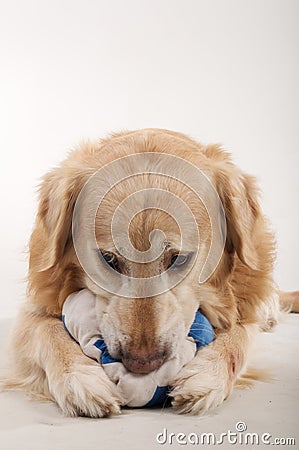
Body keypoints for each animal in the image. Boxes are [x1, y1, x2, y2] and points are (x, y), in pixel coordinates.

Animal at [2, 128, 299, 416]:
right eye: (108, 259)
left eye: (178, 258)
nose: (142, 363)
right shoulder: (33, 311)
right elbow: (49, 333)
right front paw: (79, 378)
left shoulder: (244, 308)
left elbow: (238, 337)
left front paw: (206, 376)